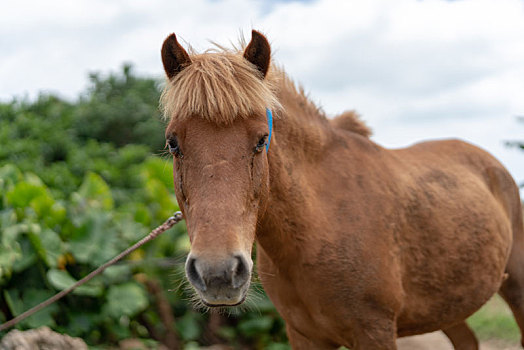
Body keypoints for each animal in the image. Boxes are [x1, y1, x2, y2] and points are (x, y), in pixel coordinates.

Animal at [160, 31, 524, 348]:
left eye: (261, 140)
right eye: (173, 143)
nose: (218, 273)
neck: (320, 223)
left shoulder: (375, 332)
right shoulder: (304, 336)